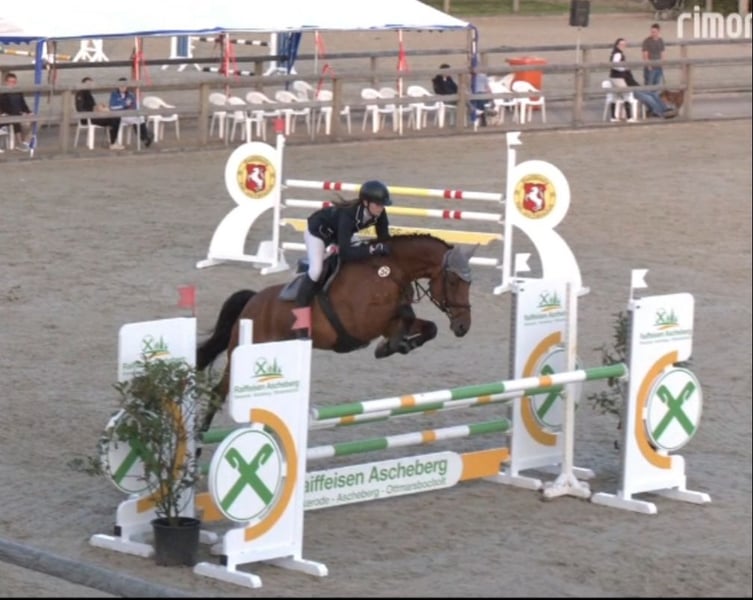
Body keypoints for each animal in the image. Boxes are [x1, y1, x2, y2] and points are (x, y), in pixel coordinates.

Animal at [196, 234, 479, 431]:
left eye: (470, 283)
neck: (389, 271)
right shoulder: (363, 322)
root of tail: (251, 302)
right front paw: (392, 345)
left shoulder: (388, 321)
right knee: (218, 393)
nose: (463, 326)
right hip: (242, 352)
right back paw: (199, 444)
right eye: (453, 281)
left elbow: (428, 327)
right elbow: (405, 314)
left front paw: (391, 346)